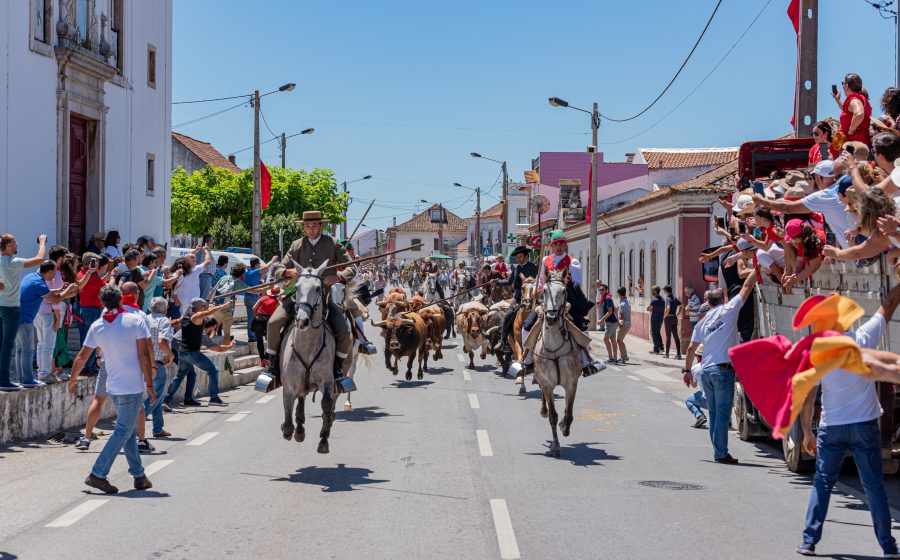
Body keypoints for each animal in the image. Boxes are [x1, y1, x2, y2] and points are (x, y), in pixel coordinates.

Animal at [278, 260, 338, 452]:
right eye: (296, 287)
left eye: (318, 288)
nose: (302, 321)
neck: (306, 346)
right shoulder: (289, 384)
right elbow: (288, 415)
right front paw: (290, 430)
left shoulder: (327, 381)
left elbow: (326, 406)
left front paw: (324, 439)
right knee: (301, 399)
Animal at [536, 266, 584, 456]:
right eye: (543, 291)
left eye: (564, 291)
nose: (550, 318)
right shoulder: (548, 384)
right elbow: (552, 416)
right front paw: (555, 446)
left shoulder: (571, 383)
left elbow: (569, 413)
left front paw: (565, 426)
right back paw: (543, 410)